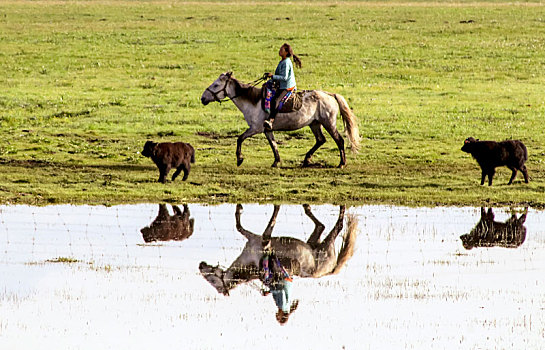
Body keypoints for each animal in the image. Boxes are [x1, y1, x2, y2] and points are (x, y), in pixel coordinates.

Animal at [199, 204, 356, 296]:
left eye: (211, 280)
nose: (200, 265)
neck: (251, 263)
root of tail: (331, 271)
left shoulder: (262, 241)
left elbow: (268, 221)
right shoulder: (254, 240)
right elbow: (239, 225)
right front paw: (240, 207)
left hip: (326, 246)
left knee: (338, 226)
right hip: (315, 243)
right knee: (321, 226)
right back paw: (307, 207)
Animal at [202, 72, 360, 167]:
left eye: (216, 85)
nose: (203, 98)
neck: (253, 101)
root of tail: (330, 94)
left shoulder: (255, 128)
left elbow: (240, 138)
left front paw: (239, 159)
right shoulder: (267, 129)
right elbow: (274, 145)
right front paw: (276, 162)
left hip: (328, 123)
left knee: (339, 140)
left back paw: (341, 163)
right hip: (315, 124)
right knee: (321, 140)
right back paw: (306, 159)